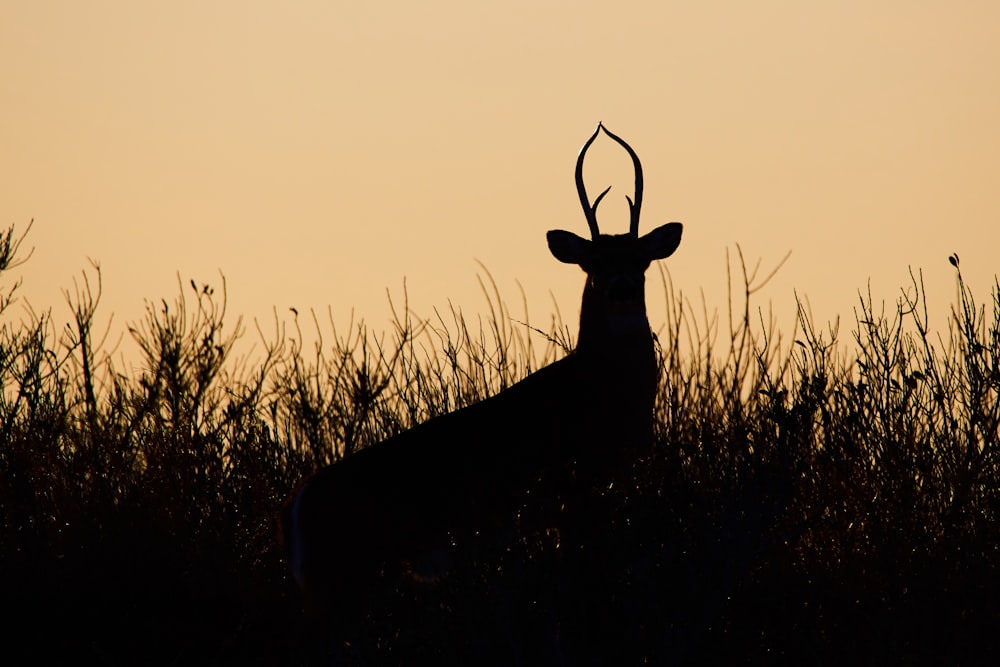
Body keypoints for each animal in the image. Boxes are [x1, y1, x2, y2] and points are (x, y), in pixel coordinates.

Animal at [282, 124, 688, 632]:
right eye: (592, 263)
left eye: (640, 260)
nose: (620, 288)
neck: (600, 391)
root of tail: (299, 504)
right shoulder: (572, 489)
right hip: (344, 578)